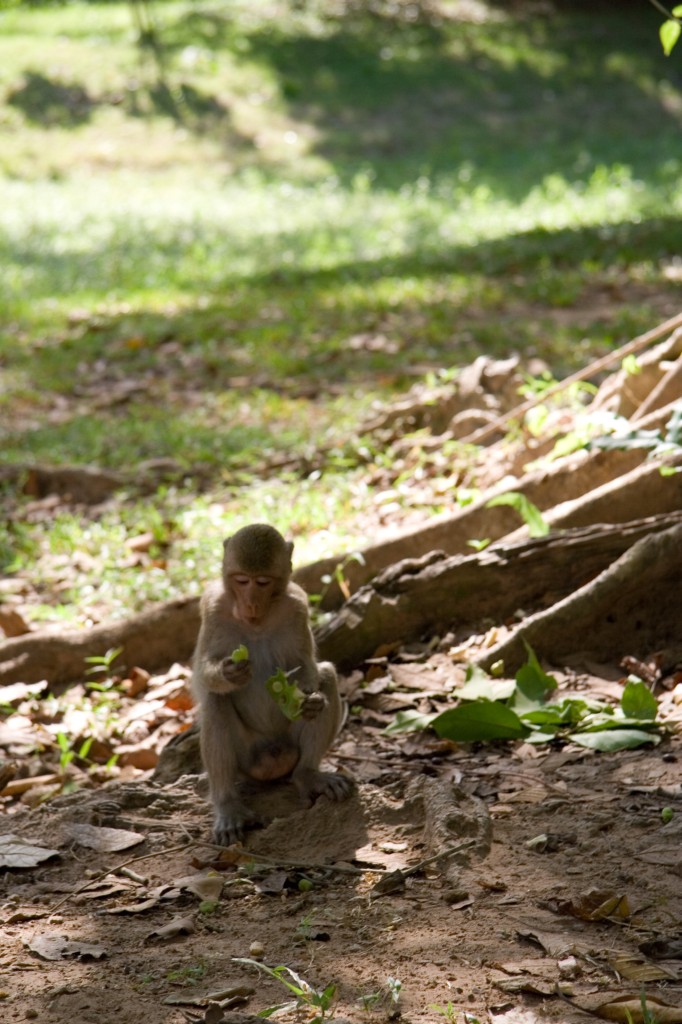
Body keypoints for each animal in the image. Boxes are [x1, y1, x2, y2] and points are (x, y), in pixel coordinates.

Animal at [189, 524, 350, 843]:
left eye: (262, 582)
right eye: (241, 580)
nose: (250, 602)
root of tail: (273, 760)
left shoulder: (298, 605)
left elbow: (306, 663)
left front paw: (309, 702)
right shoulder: (212, 606)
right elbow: (203, 675)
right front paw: (230, 673)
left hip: (288, 745)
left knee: (326, 675)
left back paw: (308, 774)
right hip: (247, 759)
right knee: (215, 700)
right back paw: (227, 806)